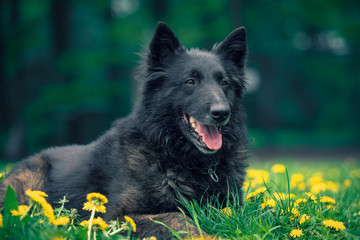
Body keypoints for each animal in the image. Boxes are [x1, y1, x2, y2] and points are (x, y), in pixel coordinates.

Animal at [0, 22, 249, 238]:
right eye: (190, 81)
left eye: (224, 83)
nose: (221, 112)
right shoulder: (117, 216)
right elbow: (176, 217)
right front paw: (210, 236)